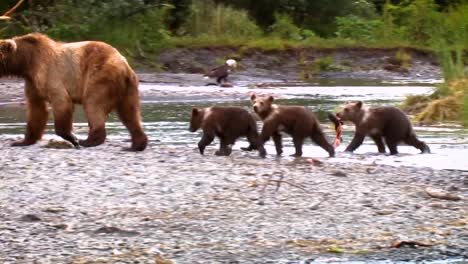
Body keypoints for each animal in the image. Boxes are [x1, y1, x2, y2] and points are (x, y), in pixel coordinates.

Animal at [0, 33, 146, 151]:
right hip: (128, 87)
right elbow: (36, 109)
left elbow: (61, 101)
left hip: (99, 76)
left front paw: (73, 138)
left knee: (93, 104)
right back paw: (136, 145)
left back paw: (88, 141)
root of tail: (124, 65)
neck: (28, 62)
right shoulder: (33, 83)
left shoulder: (50, 74)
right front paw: (22, 141)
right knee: (129, 112)